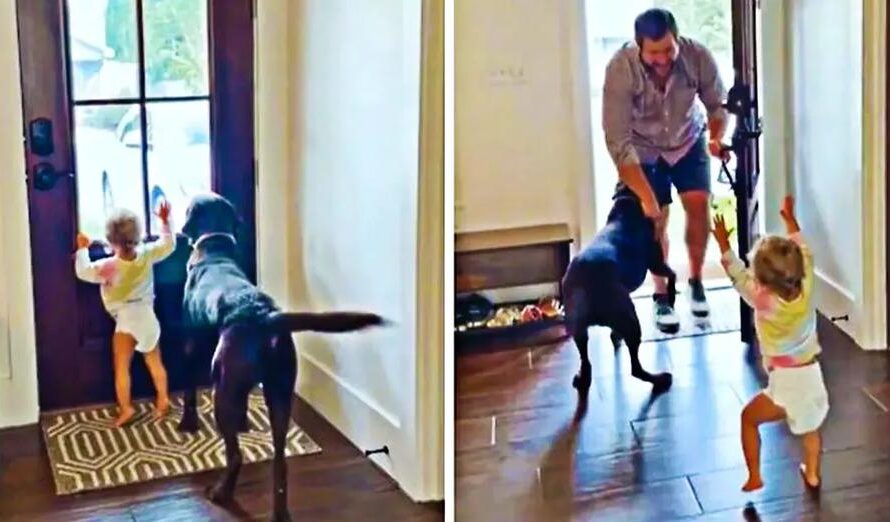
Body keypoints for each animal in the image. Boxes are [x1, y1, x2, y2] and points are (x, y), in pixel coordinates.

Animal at [176, 192, 382, 520]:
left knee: (236, 455)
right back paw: (280, 513)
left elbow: (189, 390)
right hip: (280, 393)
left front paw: (187, 423)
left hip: (225, 386)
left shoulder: (190, 343)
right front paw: (244, 423)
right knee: (280, 463)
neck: (215, 247)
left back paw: (220, 494)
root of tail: (265, 317)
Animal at [560, 194, 676, 390]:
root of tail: (586, 284)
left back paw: (584, 376)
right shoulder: (656, 263)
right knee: (636, 369)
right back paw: (660, 379)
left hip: (580, 327)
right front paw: (672, 295)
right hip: (631, 319)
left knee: (585, 357)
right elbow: (673, 274)